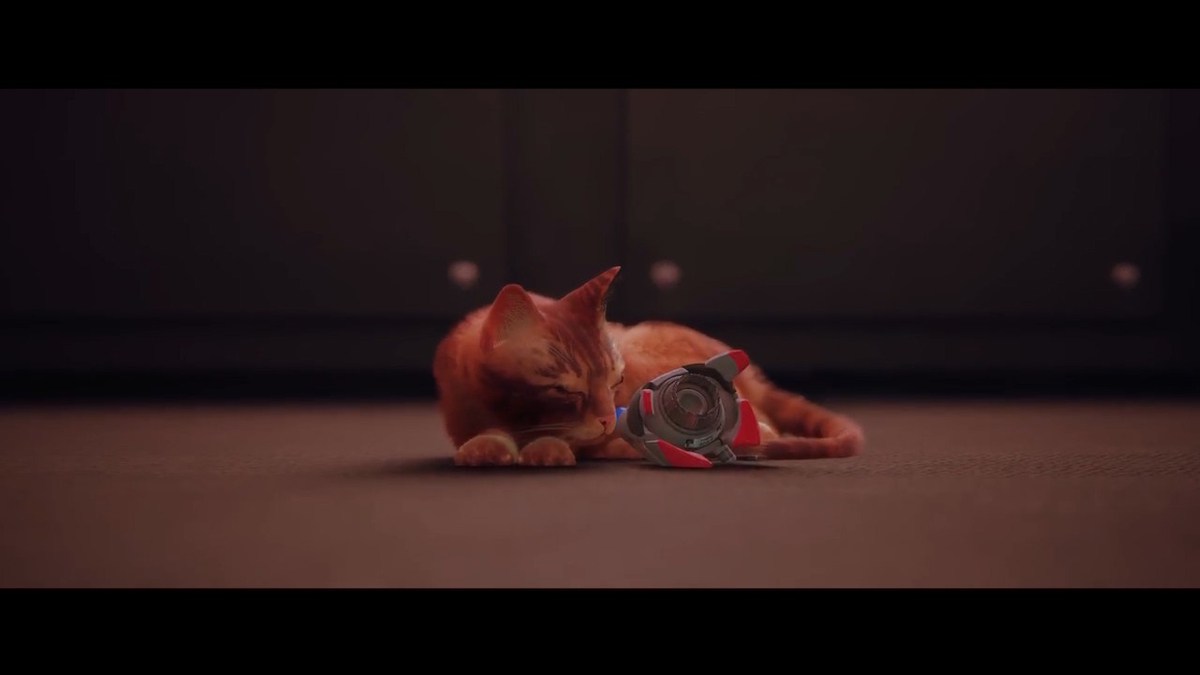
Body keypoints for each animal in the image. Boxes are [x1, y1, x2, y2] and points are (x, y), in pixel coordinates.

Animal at [432, 266, 865, 467]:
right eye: (565, 389)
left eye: (615, 382)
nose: (608, 418)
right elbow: (487, 433)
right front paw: (487, 445)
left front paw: (548, 447)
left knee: (765, 427)